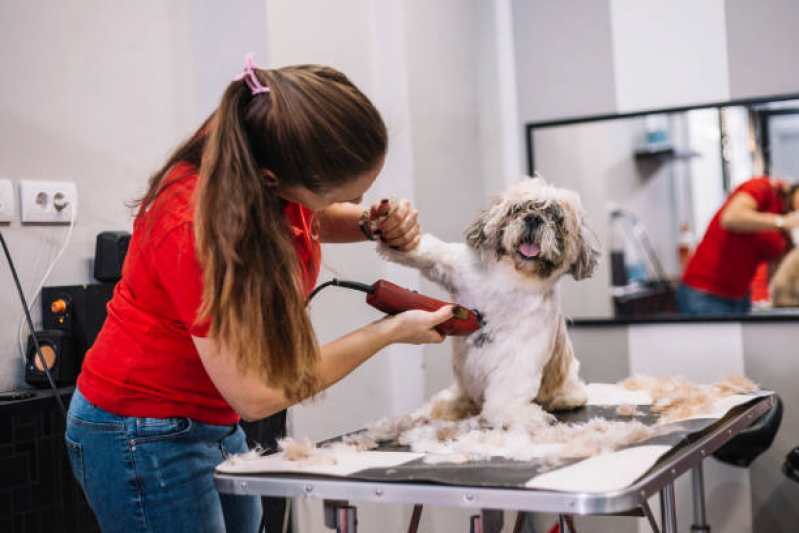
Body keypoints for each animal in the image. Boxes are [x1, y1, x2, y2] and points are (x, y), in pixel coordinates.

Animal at [382, 177, 600, 430]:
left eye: (556, 217)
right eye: (519, 209)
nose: (534, 218)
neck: (510, 281)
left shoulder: (522, 352)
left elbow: (509, 392)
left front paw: (516, 414)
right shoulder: (456, 269)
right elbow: (431, 253)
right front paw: (388, 224)